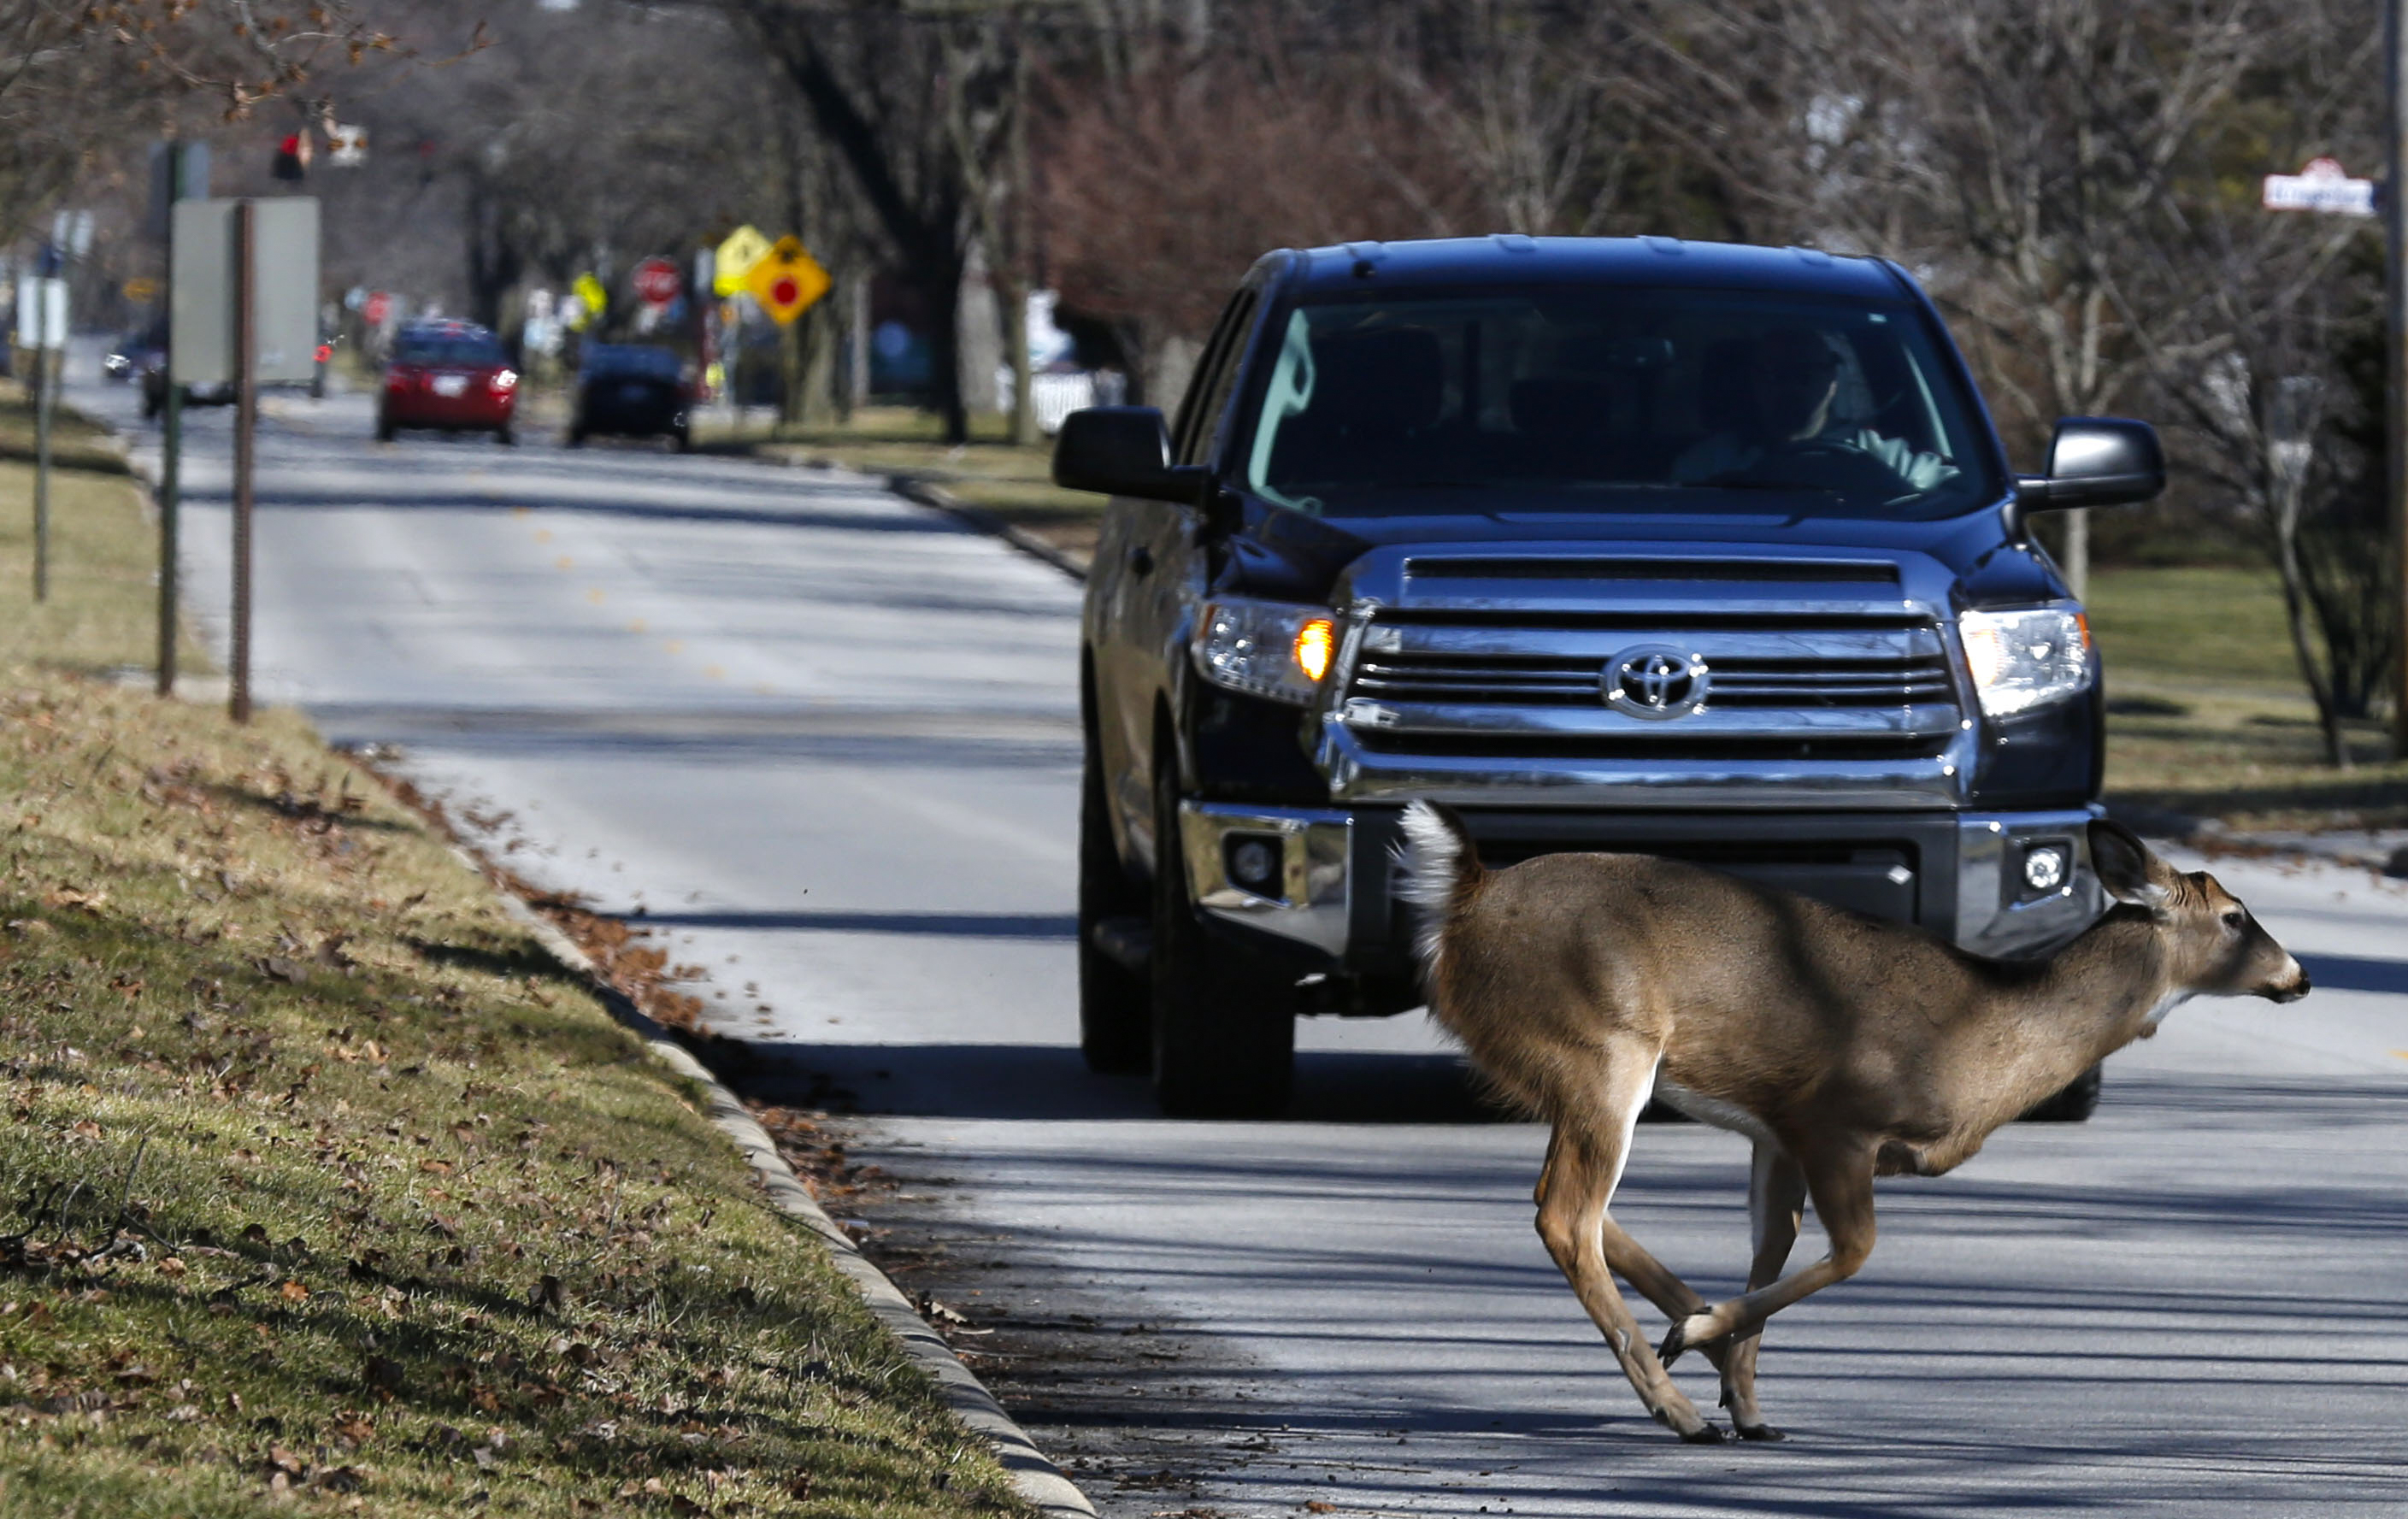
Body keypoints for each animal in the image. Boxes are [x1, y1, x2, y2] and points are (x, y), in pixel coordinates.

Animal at [1394, 802, 2309, 1443]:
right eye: (2234, 916)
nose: (2298, 975)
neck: (1988, 1035)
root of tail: (1466, 901)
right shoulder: (1834, 1118)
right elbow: (1855, 1250)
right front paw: (1711, 1351)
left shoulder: (1773, 1132)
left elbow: (1773, 1248)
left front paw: (1746, 1399)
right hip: (1602, 1049)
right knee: (1565, 1214)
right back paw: (1678, 1406)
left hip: (1578, 1072)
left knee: (1573, 1207)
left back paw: (1689, 1355)